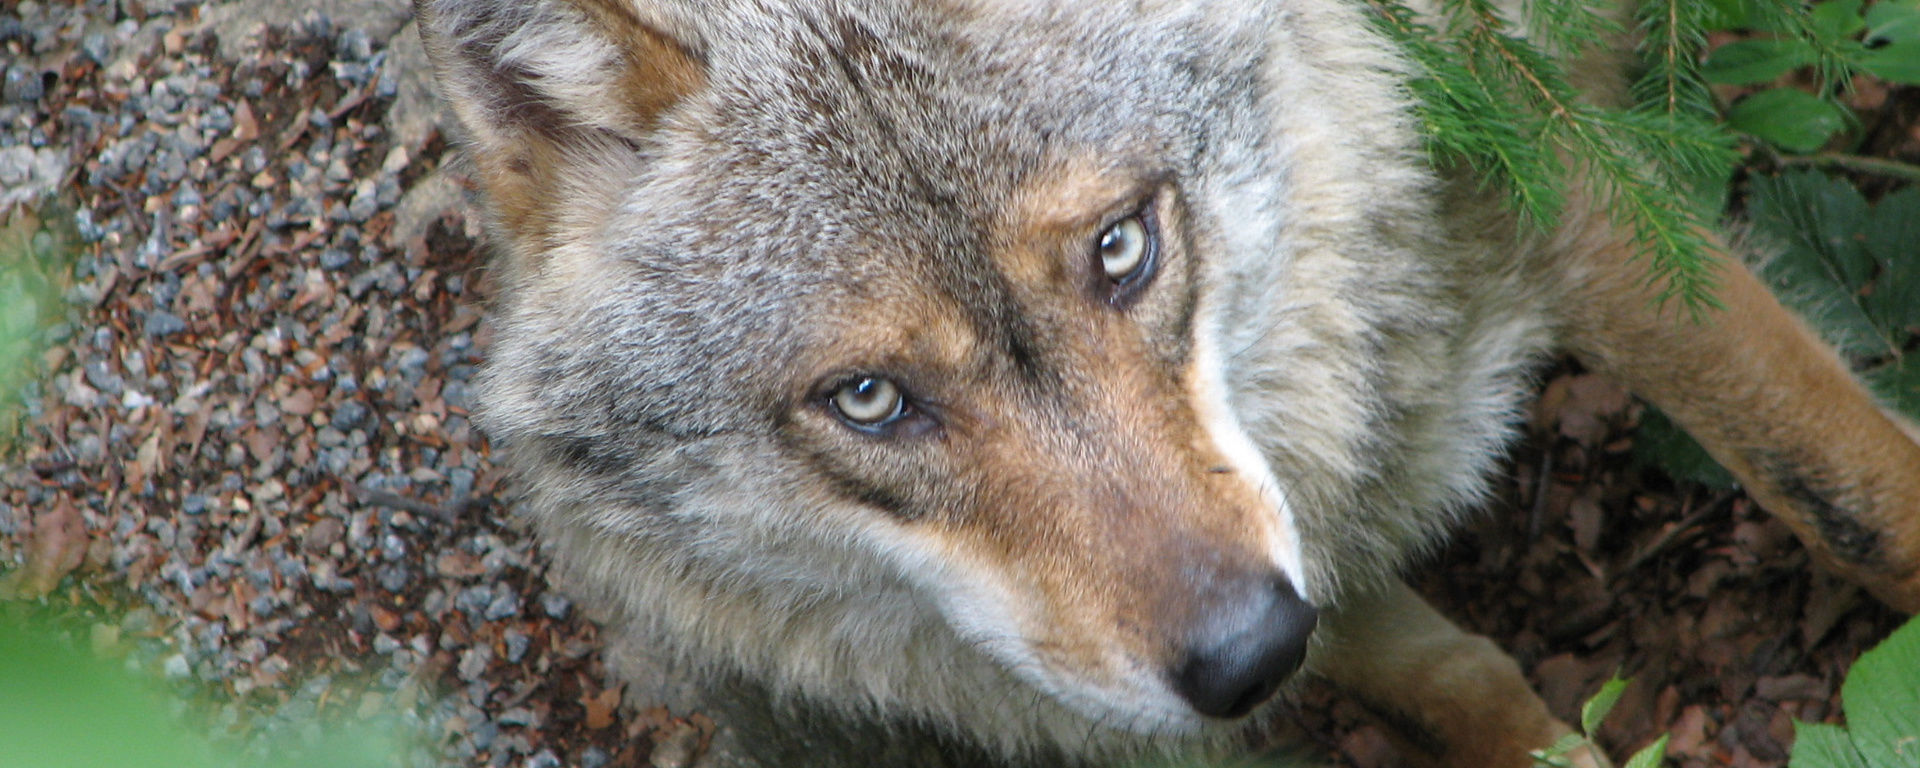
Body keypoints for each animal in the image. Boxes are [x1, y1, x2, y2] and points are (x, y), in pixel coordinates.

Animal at [412, 0, 1920, 764]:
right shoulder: (1300, 561)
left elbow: (1842, 489)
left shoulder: (1554, 165)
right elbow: (1448, 677)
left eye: (1120, 250)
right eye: (870, 400)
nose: (1252, 655)